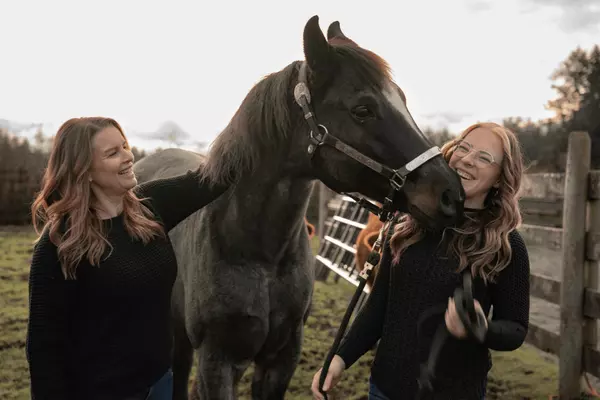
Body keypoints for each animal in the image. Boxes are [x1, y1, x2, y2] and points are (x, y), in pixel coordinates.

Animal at [135, 15, 464, 400]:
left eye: (403, 100)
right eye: (362, 109)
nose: (451, 194)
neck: (260, 255)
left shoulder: (282, 359)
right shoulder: (216, 362)